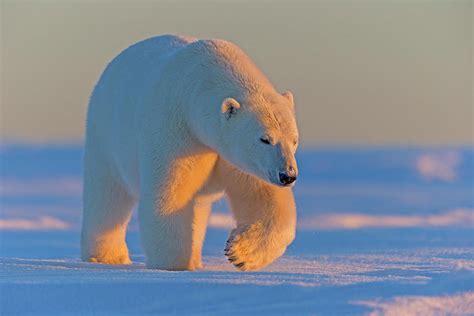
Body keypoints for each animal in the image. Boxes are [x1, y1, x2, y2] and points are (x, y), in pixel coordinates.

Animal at [79, 34, 298, 272]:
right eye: (264, 139)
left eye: (294, 139)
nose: (287, 175)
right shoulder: (177, 131)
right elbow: (171, 195)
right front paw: (174, 266)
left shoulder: (239, 158)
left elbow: (263, 196)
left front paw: (240, 252)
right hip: (106, 138)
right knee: (107, 197)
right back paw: (107, 257)